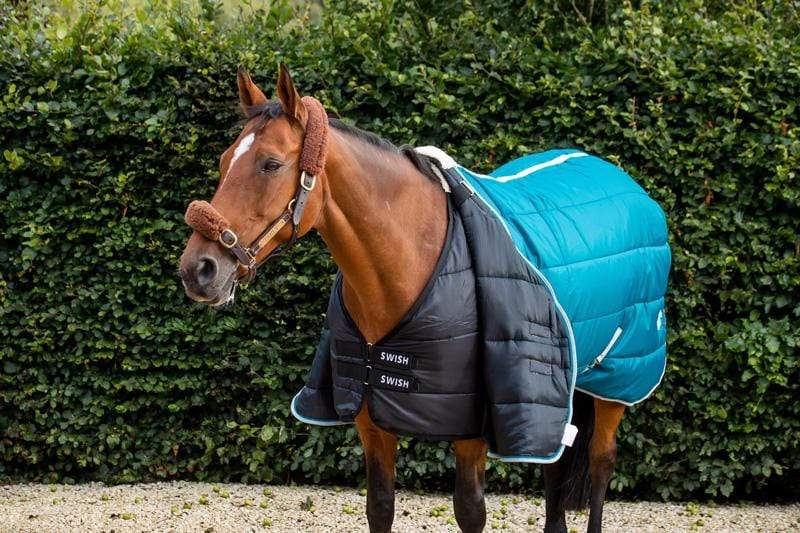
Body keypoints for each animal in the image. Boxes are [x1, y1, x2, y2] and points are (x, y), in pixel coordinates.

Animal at [179, 65, 626, 533]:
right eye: (224, 161)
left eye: (270, 164)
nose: (198, 269)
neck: (414, 259)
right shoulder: (371, 419)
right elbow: (380, 506)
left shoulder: (469, 428)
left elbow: (470, 511)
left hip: (618, 381)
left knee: (601, 461)